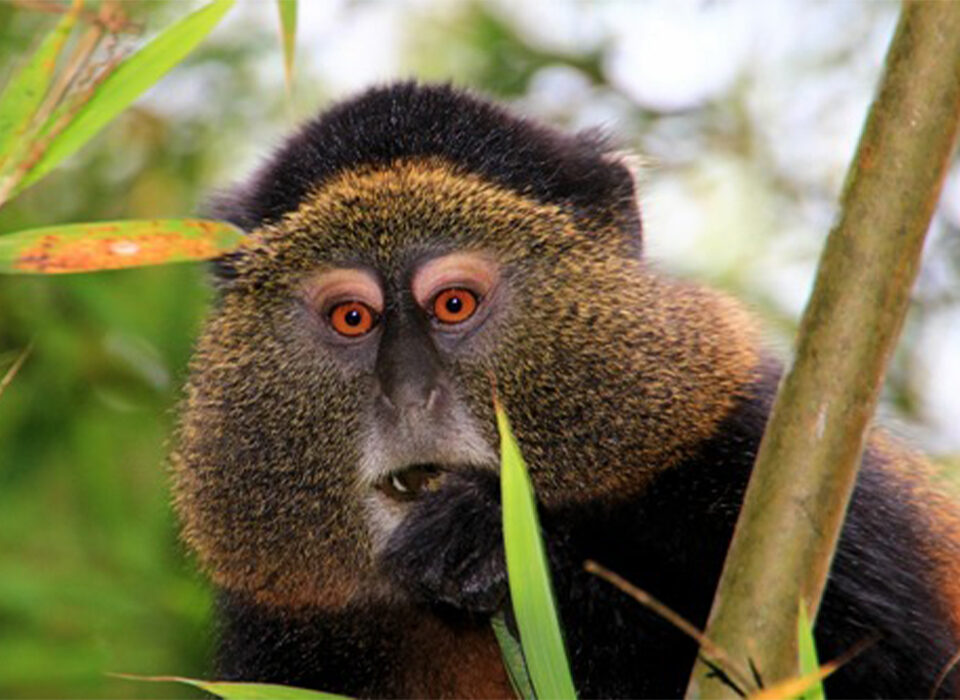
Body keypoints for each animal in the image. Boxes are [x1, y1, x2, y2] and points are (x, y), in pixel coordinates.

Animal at [172, 82, 960, 698]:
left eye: (453, 304)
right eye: (352, 317)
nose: (408, 391)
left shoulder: (762, 456)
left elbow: (885, 670)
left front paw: (497, 537)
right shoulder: (280, 627)